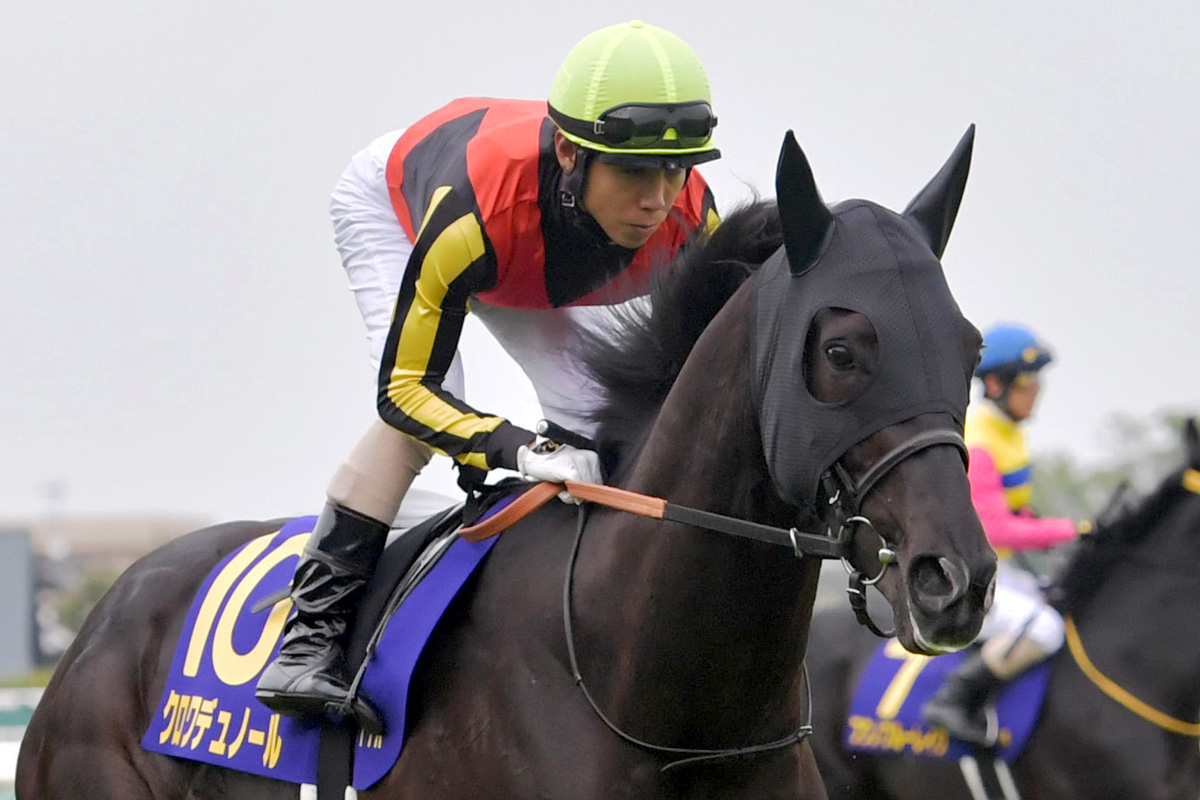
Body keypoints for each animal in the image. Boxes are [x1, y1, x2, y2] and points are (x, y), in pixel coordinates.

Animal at [18, 128, 996, 800]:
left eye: (971, 348)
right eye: (841, 351)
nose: (957, 579)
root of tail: (104, 613)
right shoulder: (459, 236)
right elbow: (407, 388)